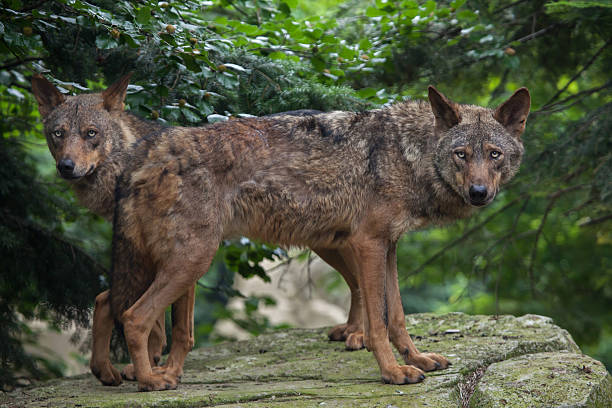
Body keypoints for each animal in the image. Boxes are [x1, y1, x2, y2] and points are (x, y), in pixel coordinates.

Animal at [32, 74, 532, 392]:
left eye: (494, 154)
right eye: (462, 154)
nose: (480, 193)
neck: (409, 154)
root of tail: (146, 151)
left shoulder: (387, 247)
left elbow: (397, 317)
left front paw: (418, 360)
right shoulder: (369, 243)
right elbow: (378, 324)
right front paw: (392, 373)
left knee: (119, 306)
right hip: (192, 260)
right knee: (134, 316)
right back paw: (152, 381)